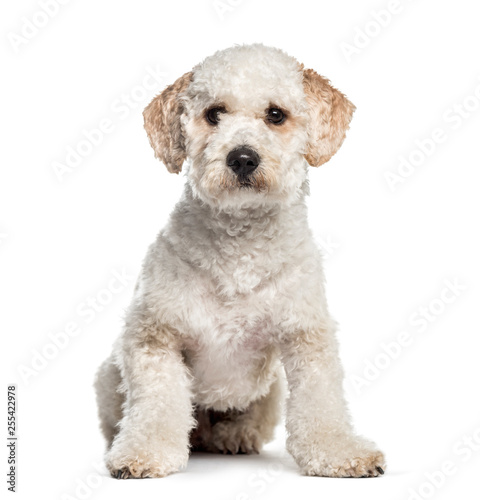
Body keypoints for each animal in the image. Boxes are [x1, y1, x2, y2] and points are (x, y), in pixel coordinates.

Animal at [94, 43, 386, 476]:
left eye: (276, 114)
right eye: (214, 113)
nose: (243, 157)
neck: (240, 248)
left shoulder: (306, 336)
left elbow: (322, 401)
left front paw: (341, 452)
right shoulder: (154, 336)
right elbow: (156, 403)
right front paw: (142, 453)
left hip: (271, 388)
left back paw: (235, 436)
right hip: (107, 376)